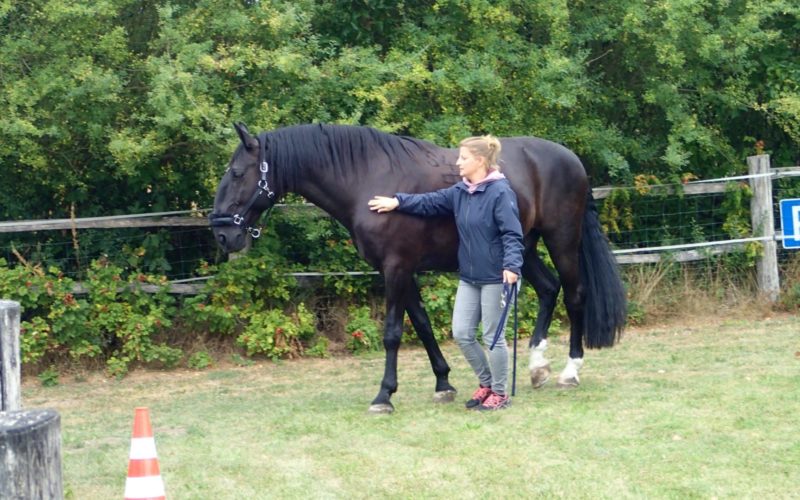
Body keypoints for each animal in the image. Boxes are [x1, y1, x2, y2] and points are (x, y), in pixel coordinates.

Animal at [211, 123, 624, 412]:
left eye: (236, 173)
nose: (222, 234)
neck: (366, 178)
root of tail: (571, 159)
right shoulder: (396, 269)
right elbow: (422, 324)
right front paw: (444, 384)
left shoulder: (396, 267)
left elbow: (393, 333)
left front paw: (384, 395)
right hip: (523, 245)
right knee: (548, 289)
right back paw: (537, 366)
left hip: (561, 240)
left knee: (574, 295)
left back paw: (569, 371)